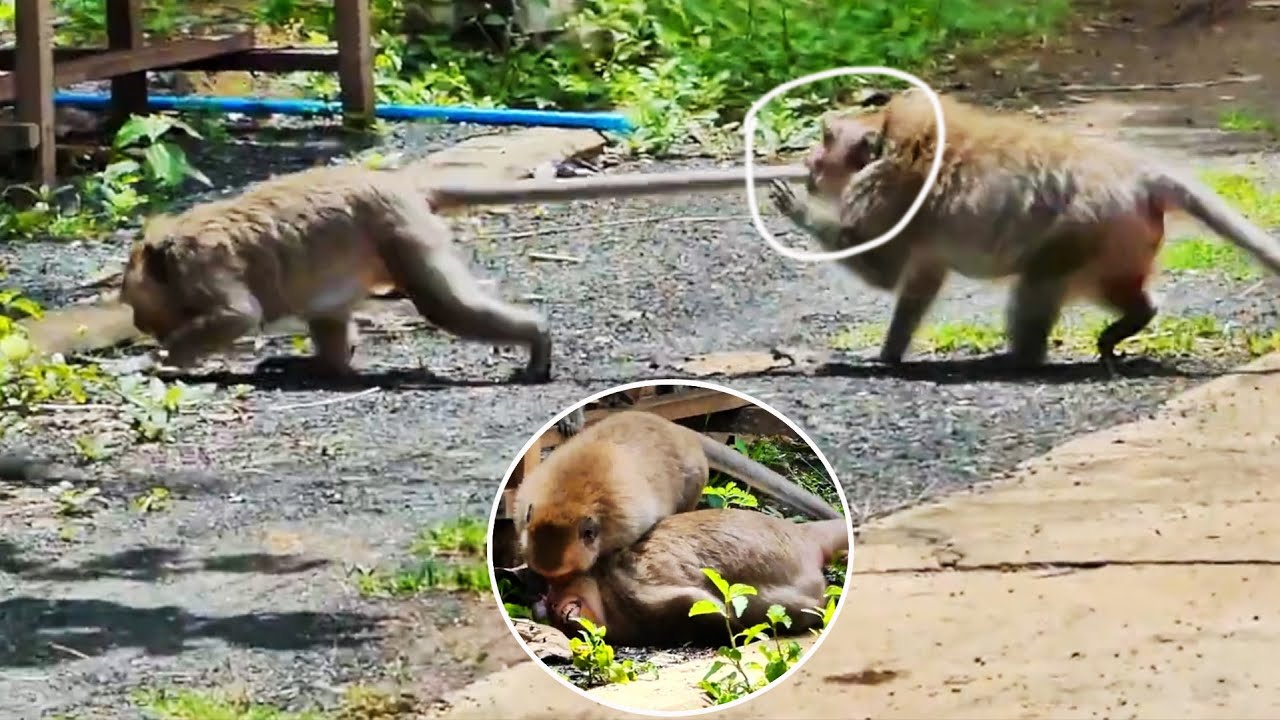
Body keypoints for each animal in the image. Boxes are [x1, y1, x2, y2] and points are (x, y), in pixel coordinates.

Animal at [120, 162, 808, 382]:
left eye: (132, 304)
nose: (137, 323)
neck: (169, 251)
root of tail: (402, 184)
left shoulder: (205, 269)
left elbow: (239, 315)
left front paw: (165, 358)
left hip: (404, 236)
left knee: (445, 305)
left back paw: (536, 340)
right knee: (331, 315)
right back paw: (325, 366)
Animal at [513, 410, 841, 583]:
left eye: (562, 577)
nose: (545, 588)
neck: (569, 499)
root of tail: (679, 430)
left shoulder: (625, 524)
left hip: (693, 481)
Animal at [540, 508, 850, 648]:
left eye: (558, 587)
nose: (549, 604)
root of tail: (804, 535)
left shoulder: (634, 589)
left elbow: (706, 605)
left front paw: (735, 633)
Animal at [769, 89, 1280, 370]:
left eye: (827, 140)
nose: (808, 162)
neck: (896, 141)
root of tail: (1140, 175)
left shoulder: (883, 196)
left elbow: (883, 272)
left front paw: (797, 208)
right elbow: (918, 282)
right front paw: (890, 354)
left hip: (1091, 229)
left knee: (1039, 282)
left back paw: (1021, 358)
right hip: (1125, 240)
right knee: (1111, 286)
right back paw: (1137, 316)